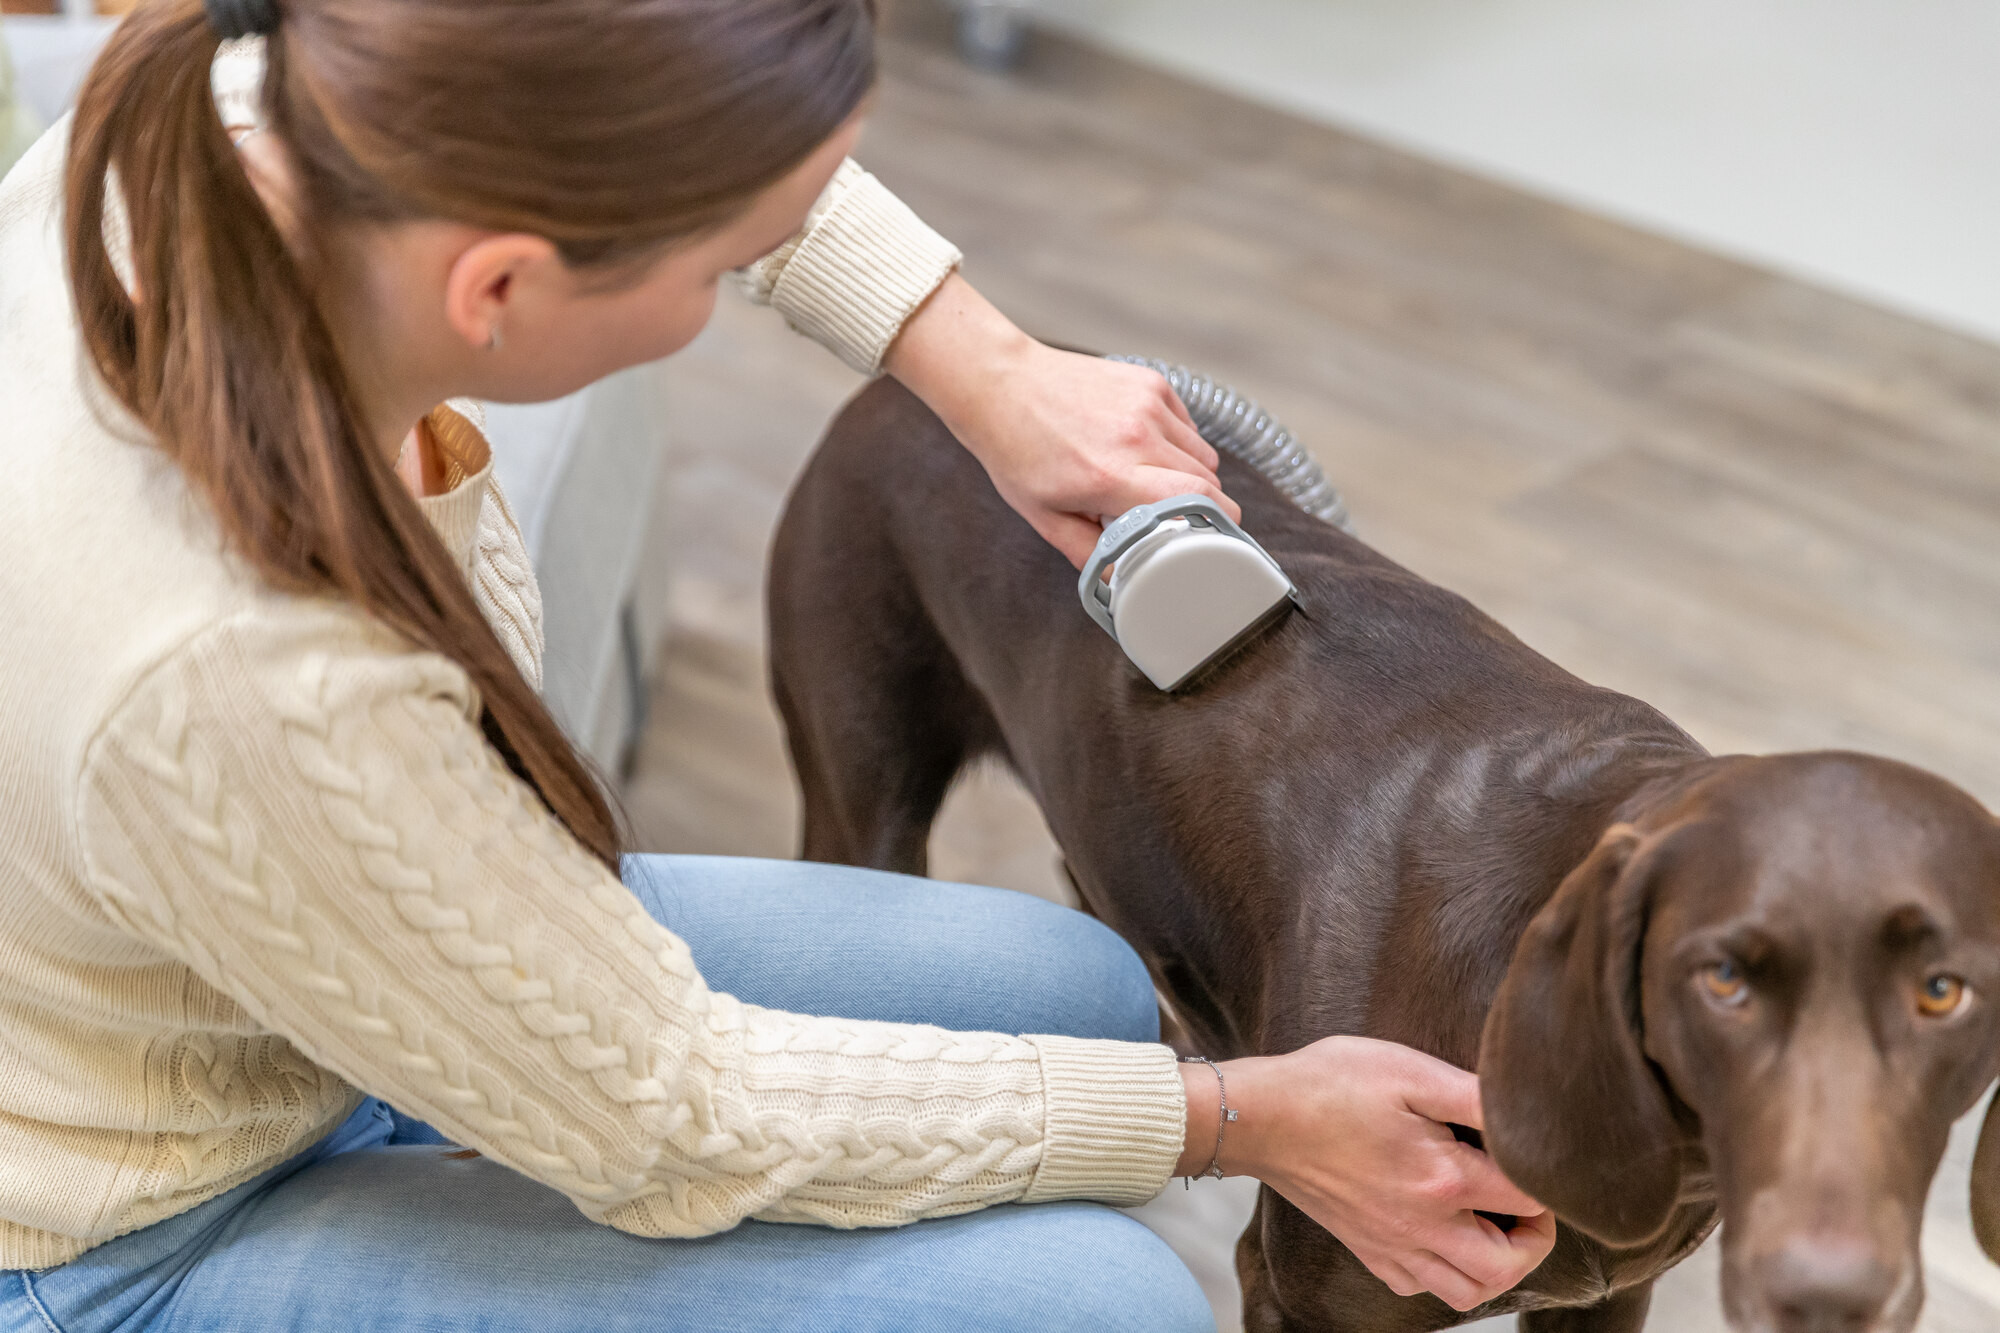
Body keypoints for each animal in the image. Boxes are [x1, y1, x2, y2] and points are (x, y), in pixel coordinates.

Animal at [760, 374, 2000, 1328]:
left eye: (1943, 992)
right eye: (1723, 979)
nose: (1827, 1291)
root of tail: (894, 388)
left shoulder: (1609, 1298)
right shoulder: (1303, 1296)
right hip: (864, 799)